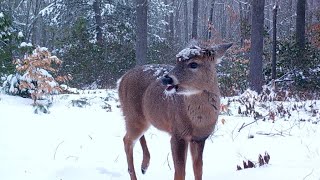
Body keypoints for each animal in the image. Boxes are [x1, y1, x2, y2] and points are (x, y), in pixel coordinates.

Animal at [119, 43, 231, 179]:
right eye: (177, 60)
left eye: (194, 64)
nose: (166, 79)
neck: (197, 122)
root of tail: (122, 79)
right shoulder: (178, 134)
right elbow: (180, 172)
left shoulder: (200, 138)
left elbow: (198, 170)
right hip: (133, 114)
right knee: (127, 140)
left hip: (142, 118)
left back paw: (144, 166)